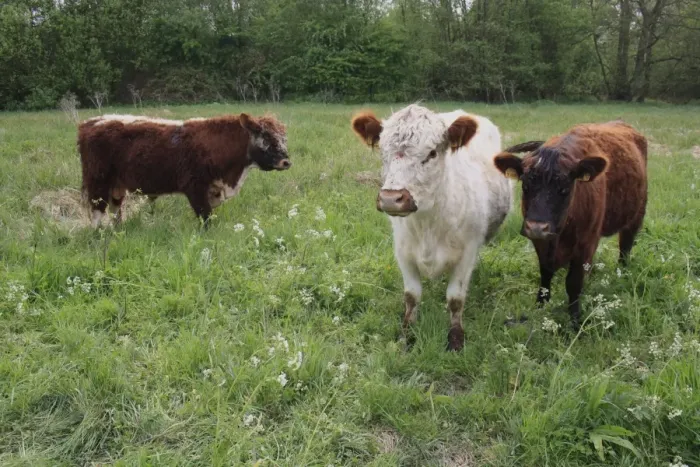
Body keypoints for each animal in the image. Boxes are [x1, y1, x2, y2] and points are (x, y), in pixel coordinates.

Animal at [78, 113, 291, 227]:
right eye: (266, 138)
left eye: (283, 138)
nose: (286, 162)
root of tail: (91, 122)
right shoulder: (195, 188)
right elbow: (205, 218)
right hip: (98, 182)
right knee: (97, 211)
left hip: (116, 186)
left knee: (115, 209)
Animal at [351, 104, 512, 351]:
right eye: (382, 152)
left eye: (432, 153)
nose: (391, 199)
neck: (428, 223)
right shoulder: (403, 251)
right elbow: (411, 296)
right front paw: (406, 336)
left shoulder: (467, 253)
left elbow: (455, 298)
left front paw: (455, 339)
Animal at [493, 121, 648, 328]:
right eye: (525, 186)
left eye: (565, 189)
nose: (537, 227)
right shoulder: (541, 242)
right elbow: (545, 274)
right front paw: (540, 305)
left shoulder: (585, 242)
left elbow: (574, 282)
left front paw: (575, 320)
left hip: (636, 215)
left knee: (625, 246)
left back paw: (622, 273)